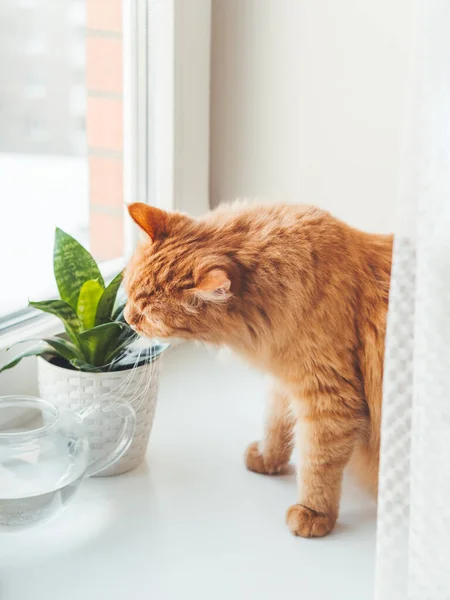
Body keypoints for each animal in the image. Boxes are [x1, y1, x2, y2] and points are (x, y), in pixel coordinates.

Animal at [125, 203, 392, 540]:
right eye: (128, 293)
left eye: (148, 316)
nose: (127, 318)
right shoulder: (283, 378)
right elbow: (276, 425)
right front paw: (267, 459)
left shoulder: (328, 396)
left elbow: (317, 462)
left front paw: (314, 513)